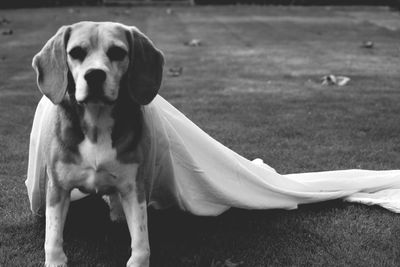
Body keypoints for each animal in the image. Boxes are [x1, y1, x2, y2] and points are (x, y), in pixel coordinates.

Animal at [31, 21, 165, 267]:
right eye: (76, 52)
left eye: (118, 52)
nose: (94, 75)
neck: (96, 122)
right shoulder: (58, 188)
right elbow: (52, 234)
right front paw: (55, 260)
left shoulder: (134, 188)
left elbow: (141, 238)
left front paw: (138, 261)